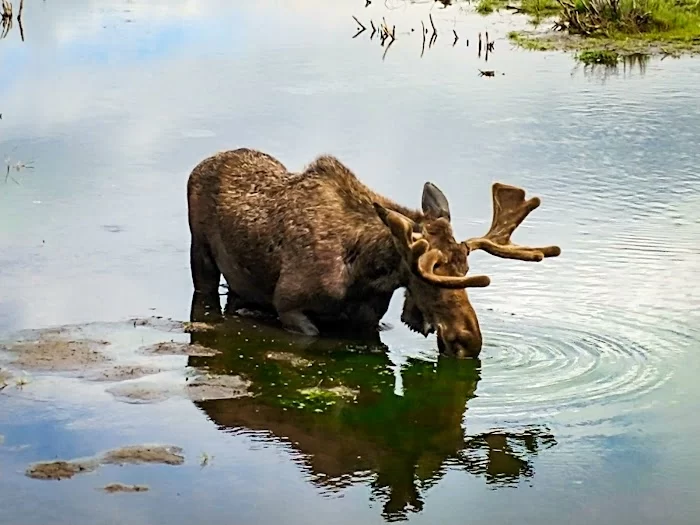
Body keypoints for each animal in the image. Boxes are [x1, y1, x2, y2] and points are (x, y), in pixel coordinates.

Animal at [185, 149, 556, 358]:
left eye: (465, 269)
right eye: (430, 278)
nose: (469, 340)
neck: (364, 271)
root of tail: (200, 165)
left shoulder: (368, 319)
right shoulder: (289, 306)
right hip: (200, 254)